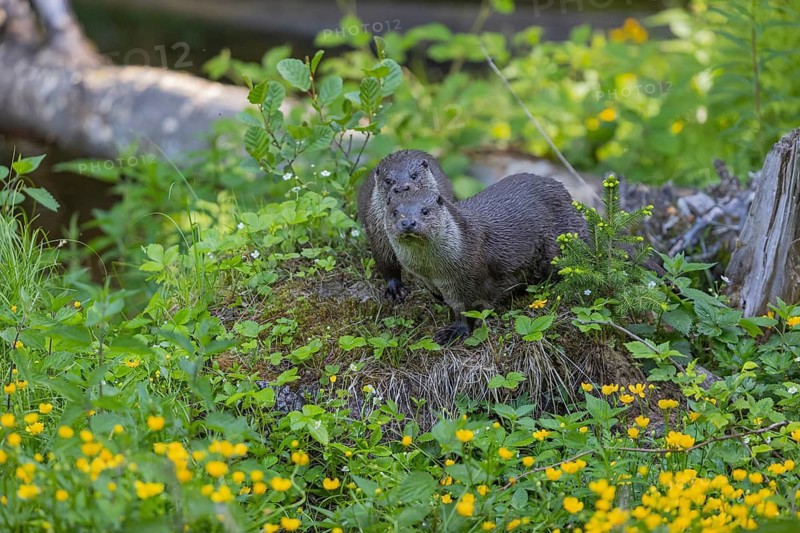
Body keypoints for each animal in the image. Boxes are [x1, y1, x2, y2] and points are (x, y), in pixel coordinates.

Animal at [357, 150, 454, 302]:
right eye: (389, 180)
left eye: (414, 175)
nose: (402, 187)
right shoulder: (378, 234)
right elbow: (385, 261)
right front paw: (395, 288)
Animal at [386, 173, 587, 344]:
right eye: (395, 212)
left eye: (425, 211)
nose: (408, 222)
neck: (433, 270)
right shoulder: (426, 279)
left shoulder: (468, 279)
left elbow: (467, 309)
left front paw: (454, 332)